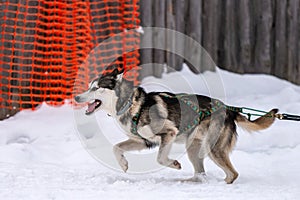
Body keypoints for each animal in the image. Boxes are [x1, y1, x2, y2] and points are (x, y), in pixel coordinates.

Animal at [76, 69, 278, 184]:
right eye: (89, 86)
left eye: (96, 88)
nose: (77, 97)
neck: (133, 105)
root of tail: (229, 109)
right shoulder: (143, 141)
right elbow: (116, 148)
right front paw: (123, 164)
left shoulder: (168, 133)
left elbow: (160, 159)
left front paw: (173, 163)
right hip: (193, 147)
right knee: (200, 174)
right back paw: (187, 181)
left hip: (213, 148)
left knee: (232, 174)